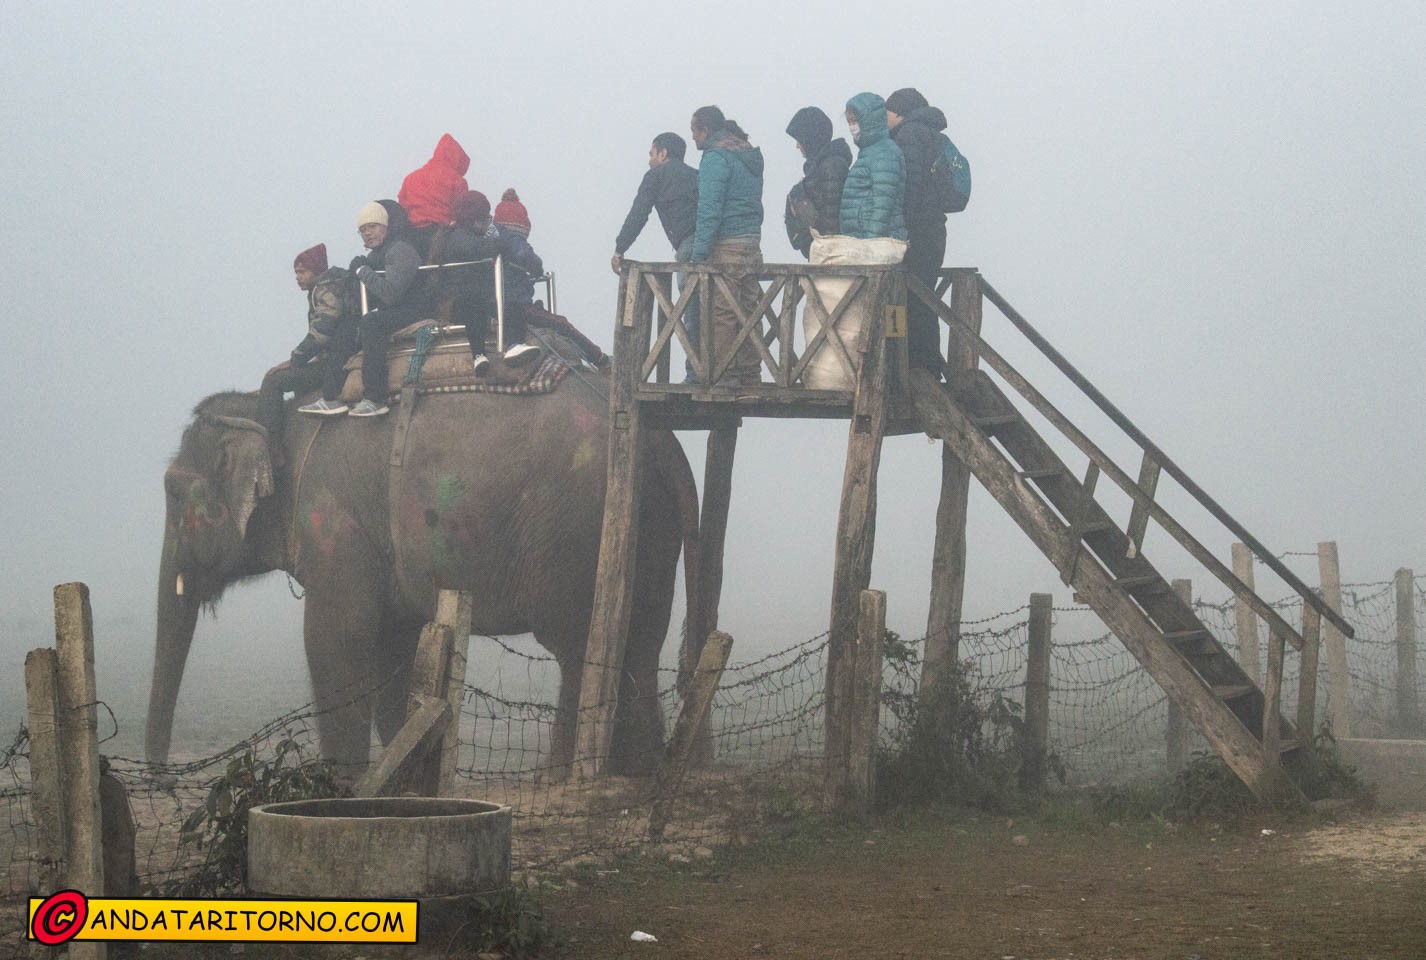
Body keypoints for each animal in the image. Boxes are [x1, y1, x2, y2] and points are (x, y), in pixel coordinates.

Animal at [146, 358, 700, 779]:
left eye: (174, 493)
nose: (162, 775)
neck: (273, 416)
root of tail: (660, 442)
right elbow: (394, 645)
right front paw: (403, 768)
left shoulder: (334, 519)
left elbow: (338, 636)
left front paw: (338, 786)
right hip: (651, 526)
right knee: (642, 638)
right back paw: (640, 773)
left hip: (574, 531)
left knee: (578, 647)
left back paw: (560, 778)